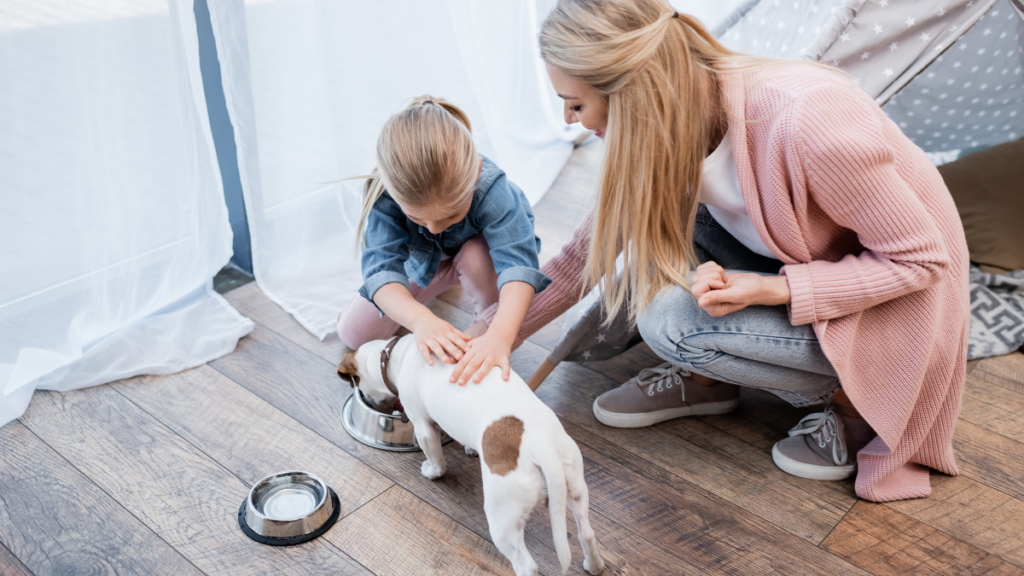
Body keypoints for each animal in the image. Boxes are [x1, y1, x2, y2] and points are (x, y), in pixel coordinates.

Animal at [339, 334, 602, 573]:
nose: (372, 404)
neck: (396, 354)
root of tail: (539, 443)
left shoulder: (423, 427)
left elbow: (437, 460)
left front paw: (431, 472)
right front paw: (470, 449)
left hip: (502, 519)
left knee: (526, 564)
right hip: (576, 489)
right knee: (587, 533)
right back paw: (595, 565)